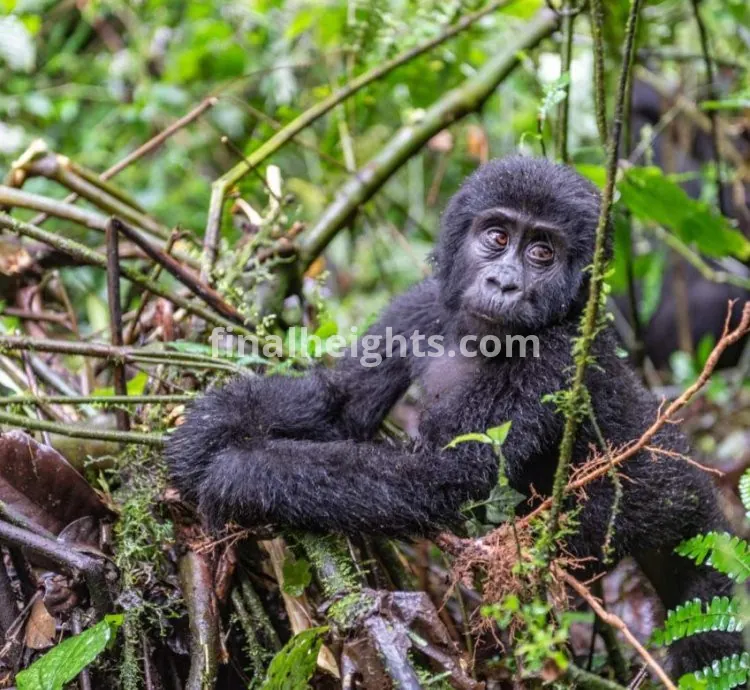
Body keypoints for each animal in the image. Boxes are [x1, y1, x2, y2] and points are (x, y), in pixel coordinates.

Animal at [167, 156, 741, 676]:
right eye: (496, 237)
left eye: (542, 252)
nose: (505, 282)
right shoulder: (419, 307)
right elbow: (341, 409)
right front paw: (215, 423)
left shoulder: (555, 357)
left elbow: (438, 478)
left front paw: (242, 473)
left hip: (687, 514)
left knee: (709, 634)